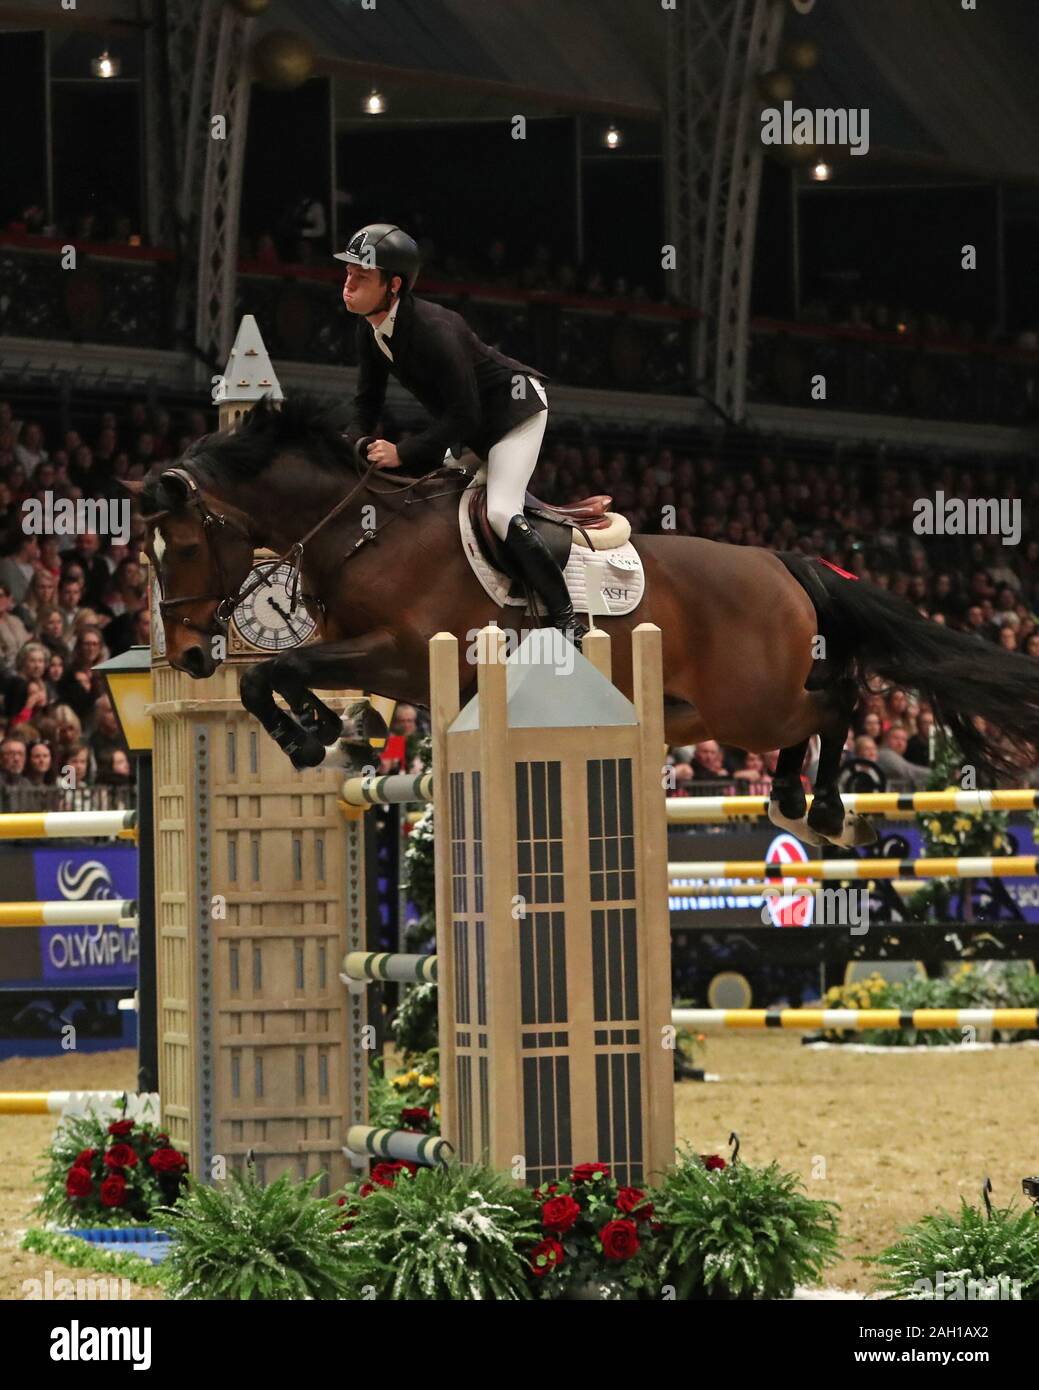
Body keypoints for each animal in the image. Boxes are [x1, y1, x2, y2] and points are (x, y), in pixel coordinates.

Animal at [134, 391, 1039, 845]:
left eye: (184, 545)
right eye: (148, 555)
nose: (190, 655)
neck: (364, 530)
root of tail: (783, 560)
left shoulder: (399, 652)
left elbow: (285, 667)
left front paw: (307, 736)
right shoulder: (379, 661)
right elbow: (279, 677)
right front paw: (321, 731)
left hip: (751, 701)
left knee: (838, 701)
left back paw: (816, 808)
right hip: (711, 713)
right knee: (819, 710)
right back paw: (791, 798)